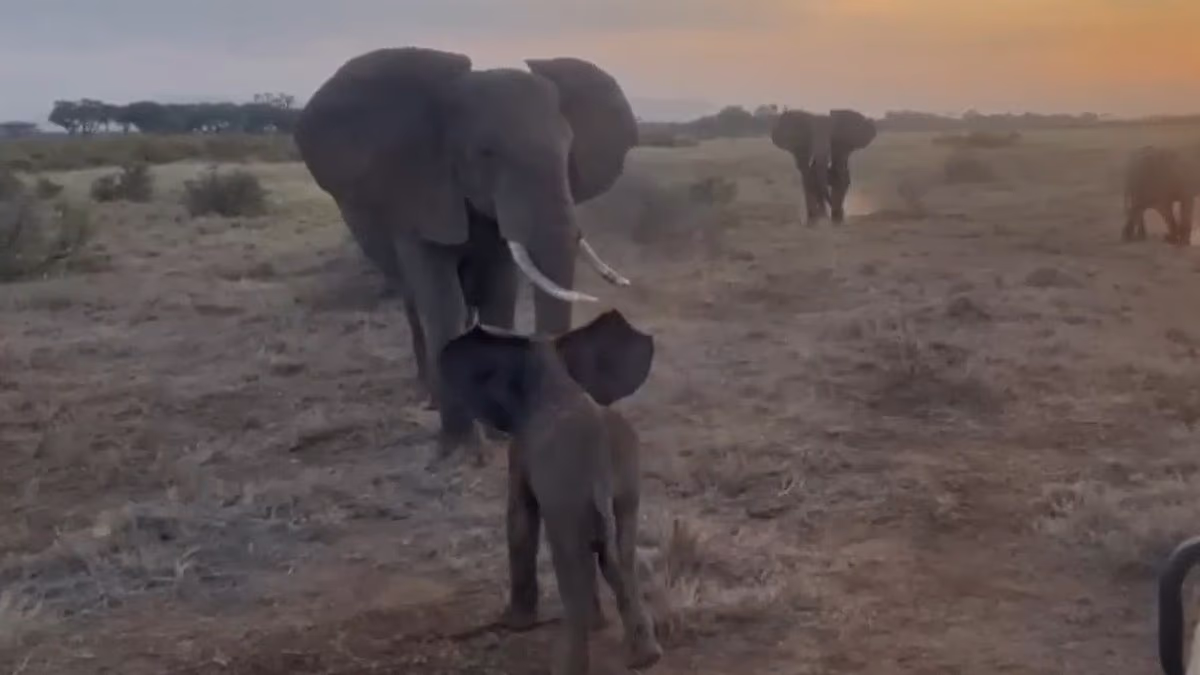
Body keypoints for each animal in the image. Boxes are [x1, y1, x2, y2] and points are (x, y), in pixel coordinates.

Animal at [294, 47, 638, 459]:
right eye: (486, 153)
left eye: (569, 149)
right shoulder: (420, 195)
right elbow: (444, 303)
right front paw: (458, 447)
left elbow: (500, 298)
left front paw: (498, 435)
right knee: (415, 305)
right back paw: (428, 395)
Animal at [439, 309, 662, 675]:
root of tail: (597, 461)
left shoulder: (521, 448)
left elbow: (519, 519)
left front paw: (515, 624)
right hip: (624, 485)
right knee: (621, 555)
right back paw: (645, 658)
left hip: (566, 496)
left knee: (572, 563)